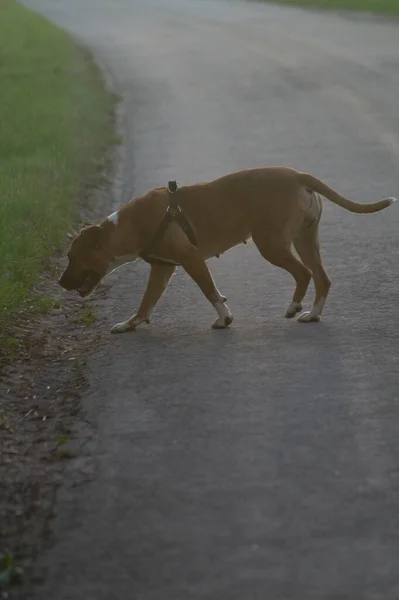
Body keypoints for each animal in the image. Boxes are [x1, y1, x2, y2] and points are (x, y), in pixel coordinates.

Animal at [59, 166, 396, 330]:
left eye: (73, 257)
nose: (60, 282)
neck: (127, 226)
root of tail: (297, 175)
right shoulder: (162, 269)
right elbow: (146, 303)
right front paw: (131, 324)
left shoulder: (192, 260)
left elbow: (210, 292)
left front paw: (224, 319)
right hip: (304, 239)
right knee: (322, 278)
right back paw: (312, 314)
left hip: (271, 244)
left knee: (303, 274)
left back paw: (293, 307)